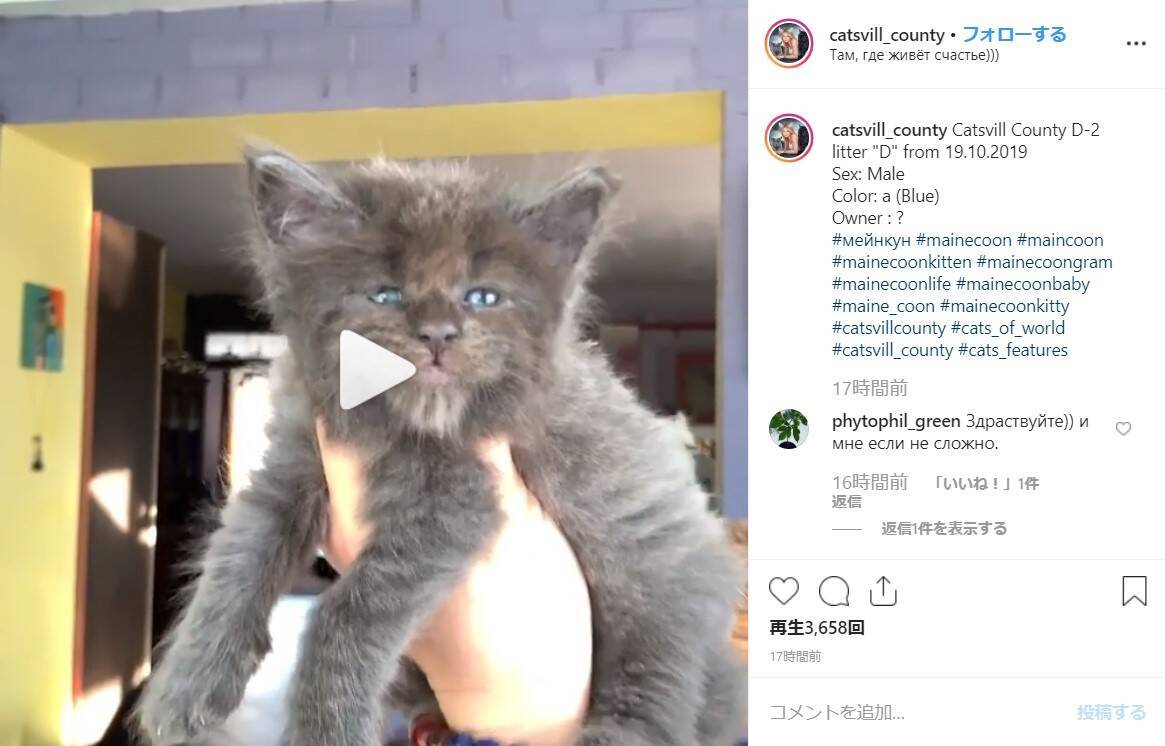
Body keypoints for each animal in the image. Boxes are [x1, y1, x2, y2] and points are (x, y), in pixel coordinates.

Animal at [135, 147, 745, 746]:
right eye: (386, 294)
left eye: (482, 297)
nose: (437, 333)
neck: (394, 423)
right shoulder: (290, 466)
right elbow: (234, 561)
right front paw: (185, 686)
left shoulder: (453, 503)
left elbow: (347, 610)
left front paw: (327, 727)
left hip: (658, 593)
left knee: (660, 690)